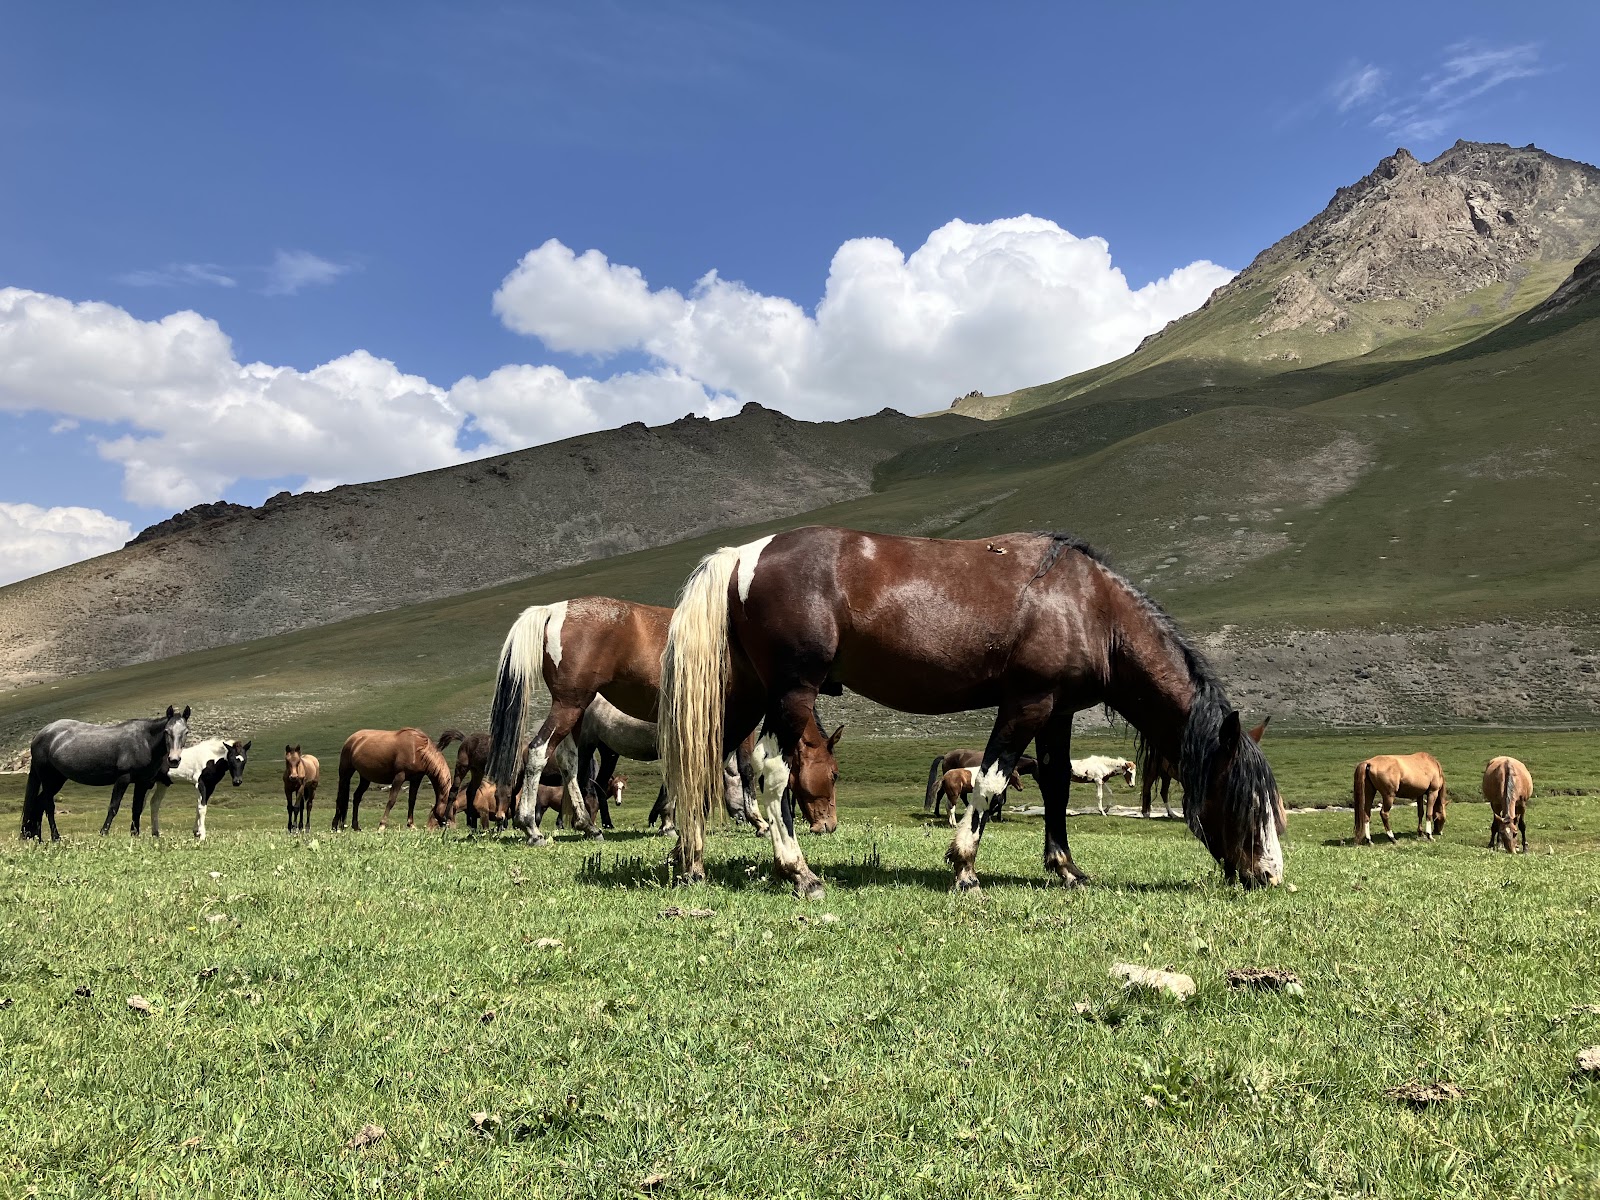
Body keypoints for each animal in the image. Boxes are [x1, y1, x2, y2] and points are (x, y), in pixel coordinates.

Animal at [20, 704, 192, 844]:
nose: (174, 760)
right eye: (167, 731)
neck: (145, 742)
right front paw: (103, 833)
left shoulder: (142, 782)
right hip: (47, 778)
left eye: (186, 732)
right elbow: (113, 807)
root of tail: (41, 734)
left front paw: (135, 835)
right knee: (48, 805)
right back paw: (55, 837)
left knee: (39, 803)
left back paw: (37, 838)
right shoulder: (123, 779)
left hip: (58, 779)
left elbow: (137, 809)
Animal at [662, 528, 1286, 902]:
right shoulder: (1026, 703)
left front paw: (1065, 867)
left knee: (703, 764)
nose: (1271, 875)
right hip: (791, 693)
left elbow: (1056, 785)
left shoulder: (1057, 713)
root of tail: (745, 555)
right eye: (1244, 799)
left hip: (748, 693)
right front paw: (964, 865)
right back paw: (799, 872)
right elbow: (989, 782)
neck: (1090, 607)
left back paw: (690, 860)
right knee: (772, 776)